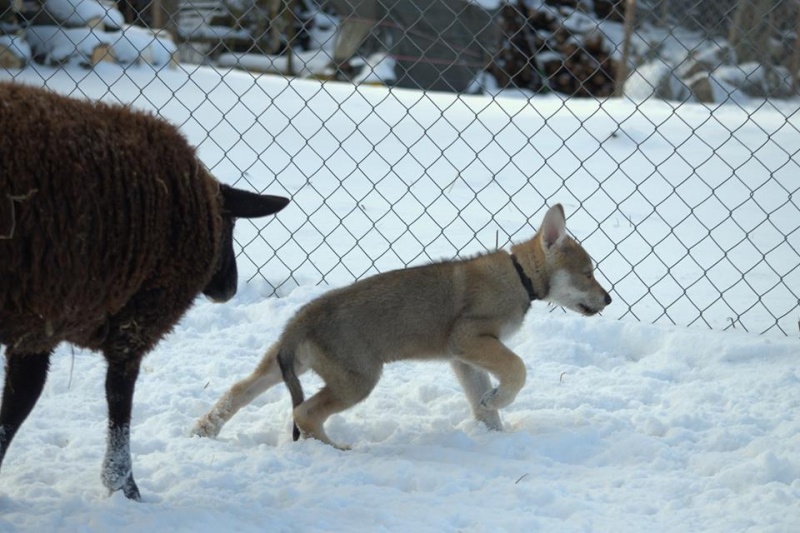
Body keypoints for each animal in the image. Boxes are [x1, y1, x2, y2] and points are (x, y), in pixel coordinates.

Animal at [0, 82, 292, 498]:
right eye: (230, 224)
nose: (230, 289)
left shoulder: (37, 325)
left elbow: (17, 401)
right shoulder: (131, 323)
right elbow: (114, 404)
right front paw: (126, 490)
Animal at [192, 206, 608, 446]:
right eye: (588, 273)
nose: (608, 300)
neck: (518, 277)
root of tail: (302, 319)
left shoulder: (463, 359)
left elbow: (483, 405)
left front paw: (496, 432)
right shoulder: (470, 338)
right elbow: (517, 370)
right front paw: (499, 401)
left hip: (285, 366)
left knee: (239, 390)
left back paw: (204, 430)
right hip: (358, 381)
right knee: (304, 413)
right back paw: (335, 450)